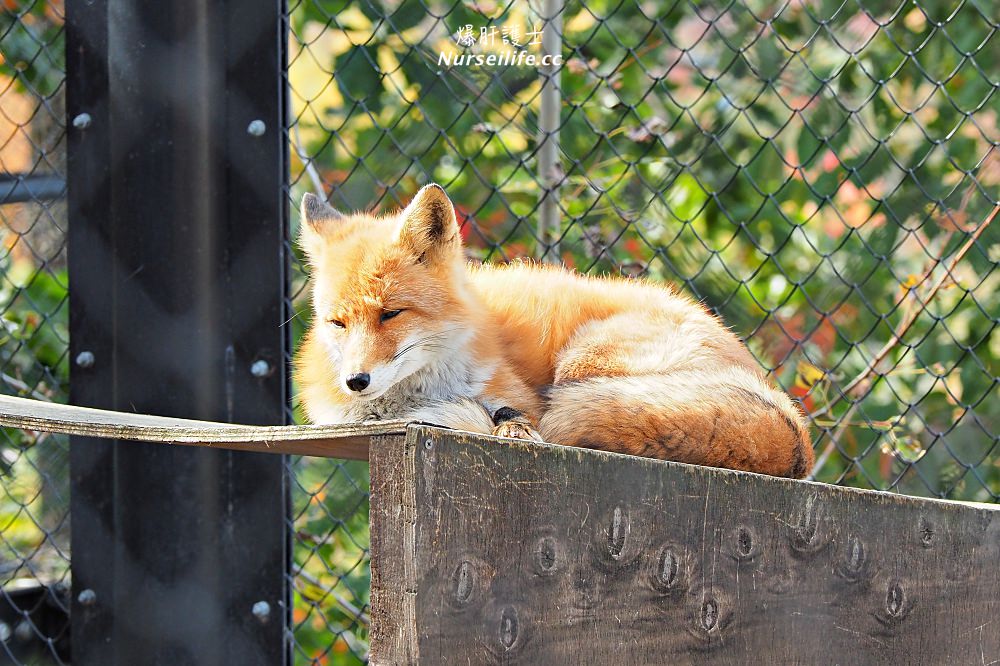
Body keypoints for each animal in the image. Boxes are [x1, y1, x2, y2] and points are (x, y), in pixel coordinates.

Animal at [292, 183, 816, 478]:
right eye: (338, 323)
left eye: (391, 314)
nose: (355, 381)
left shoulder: (516, 397)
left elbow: (515, 421)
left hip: (585, 360)